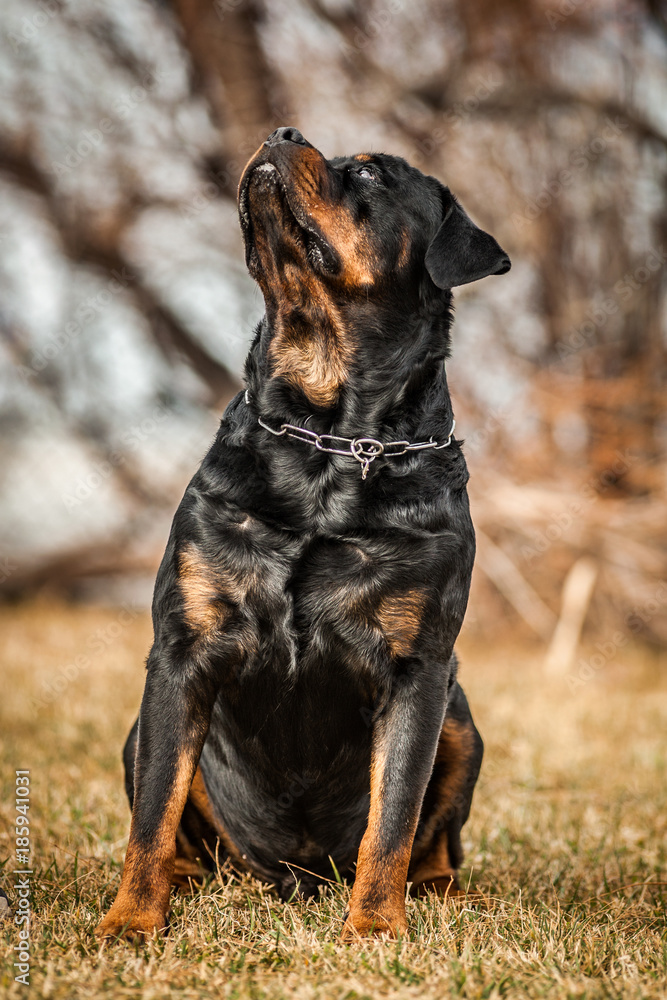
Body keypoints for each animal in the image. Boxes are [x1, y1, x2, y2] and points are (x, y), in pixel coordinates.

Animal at [94, 127, 512, 944]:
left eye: (371, 173)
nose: (282, 133)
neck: (330, 443)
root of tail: (298, 878)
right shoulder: (180, 655)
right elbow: (153, 811)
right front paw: (130, 920)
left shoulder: (419, 670)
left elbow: (394, 817)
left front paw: (375, 929)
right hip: (142, 734)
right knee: (178, 825)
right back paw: (186, 883)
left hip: (461, 721)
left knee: (434, 846)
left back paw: (448, 895)